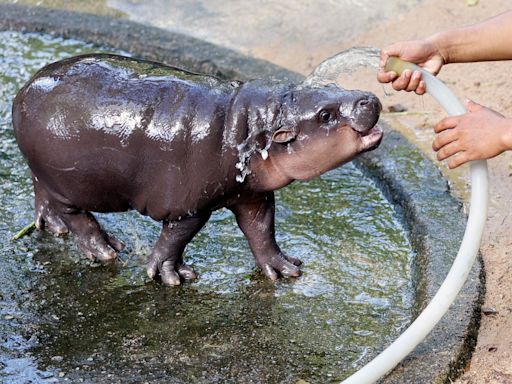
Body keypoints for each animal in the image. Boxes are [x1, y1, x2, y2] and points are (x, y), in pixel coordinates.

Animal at [12, 53, 382, 284]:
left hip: (44, 171)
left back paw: (54, 227)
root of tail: (24, 89)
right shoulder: (188, 206)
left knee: (43, 193)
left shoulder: (252, 195)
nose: (370, 98)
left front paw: (285, 269)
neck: (252, 124)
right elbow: (176, 239)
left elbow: (261, 231)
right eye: (325, 115)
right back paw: (107, 251)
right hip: (70, 182)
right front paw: (172, 276)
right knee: (77, 216)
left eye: (332, 87)